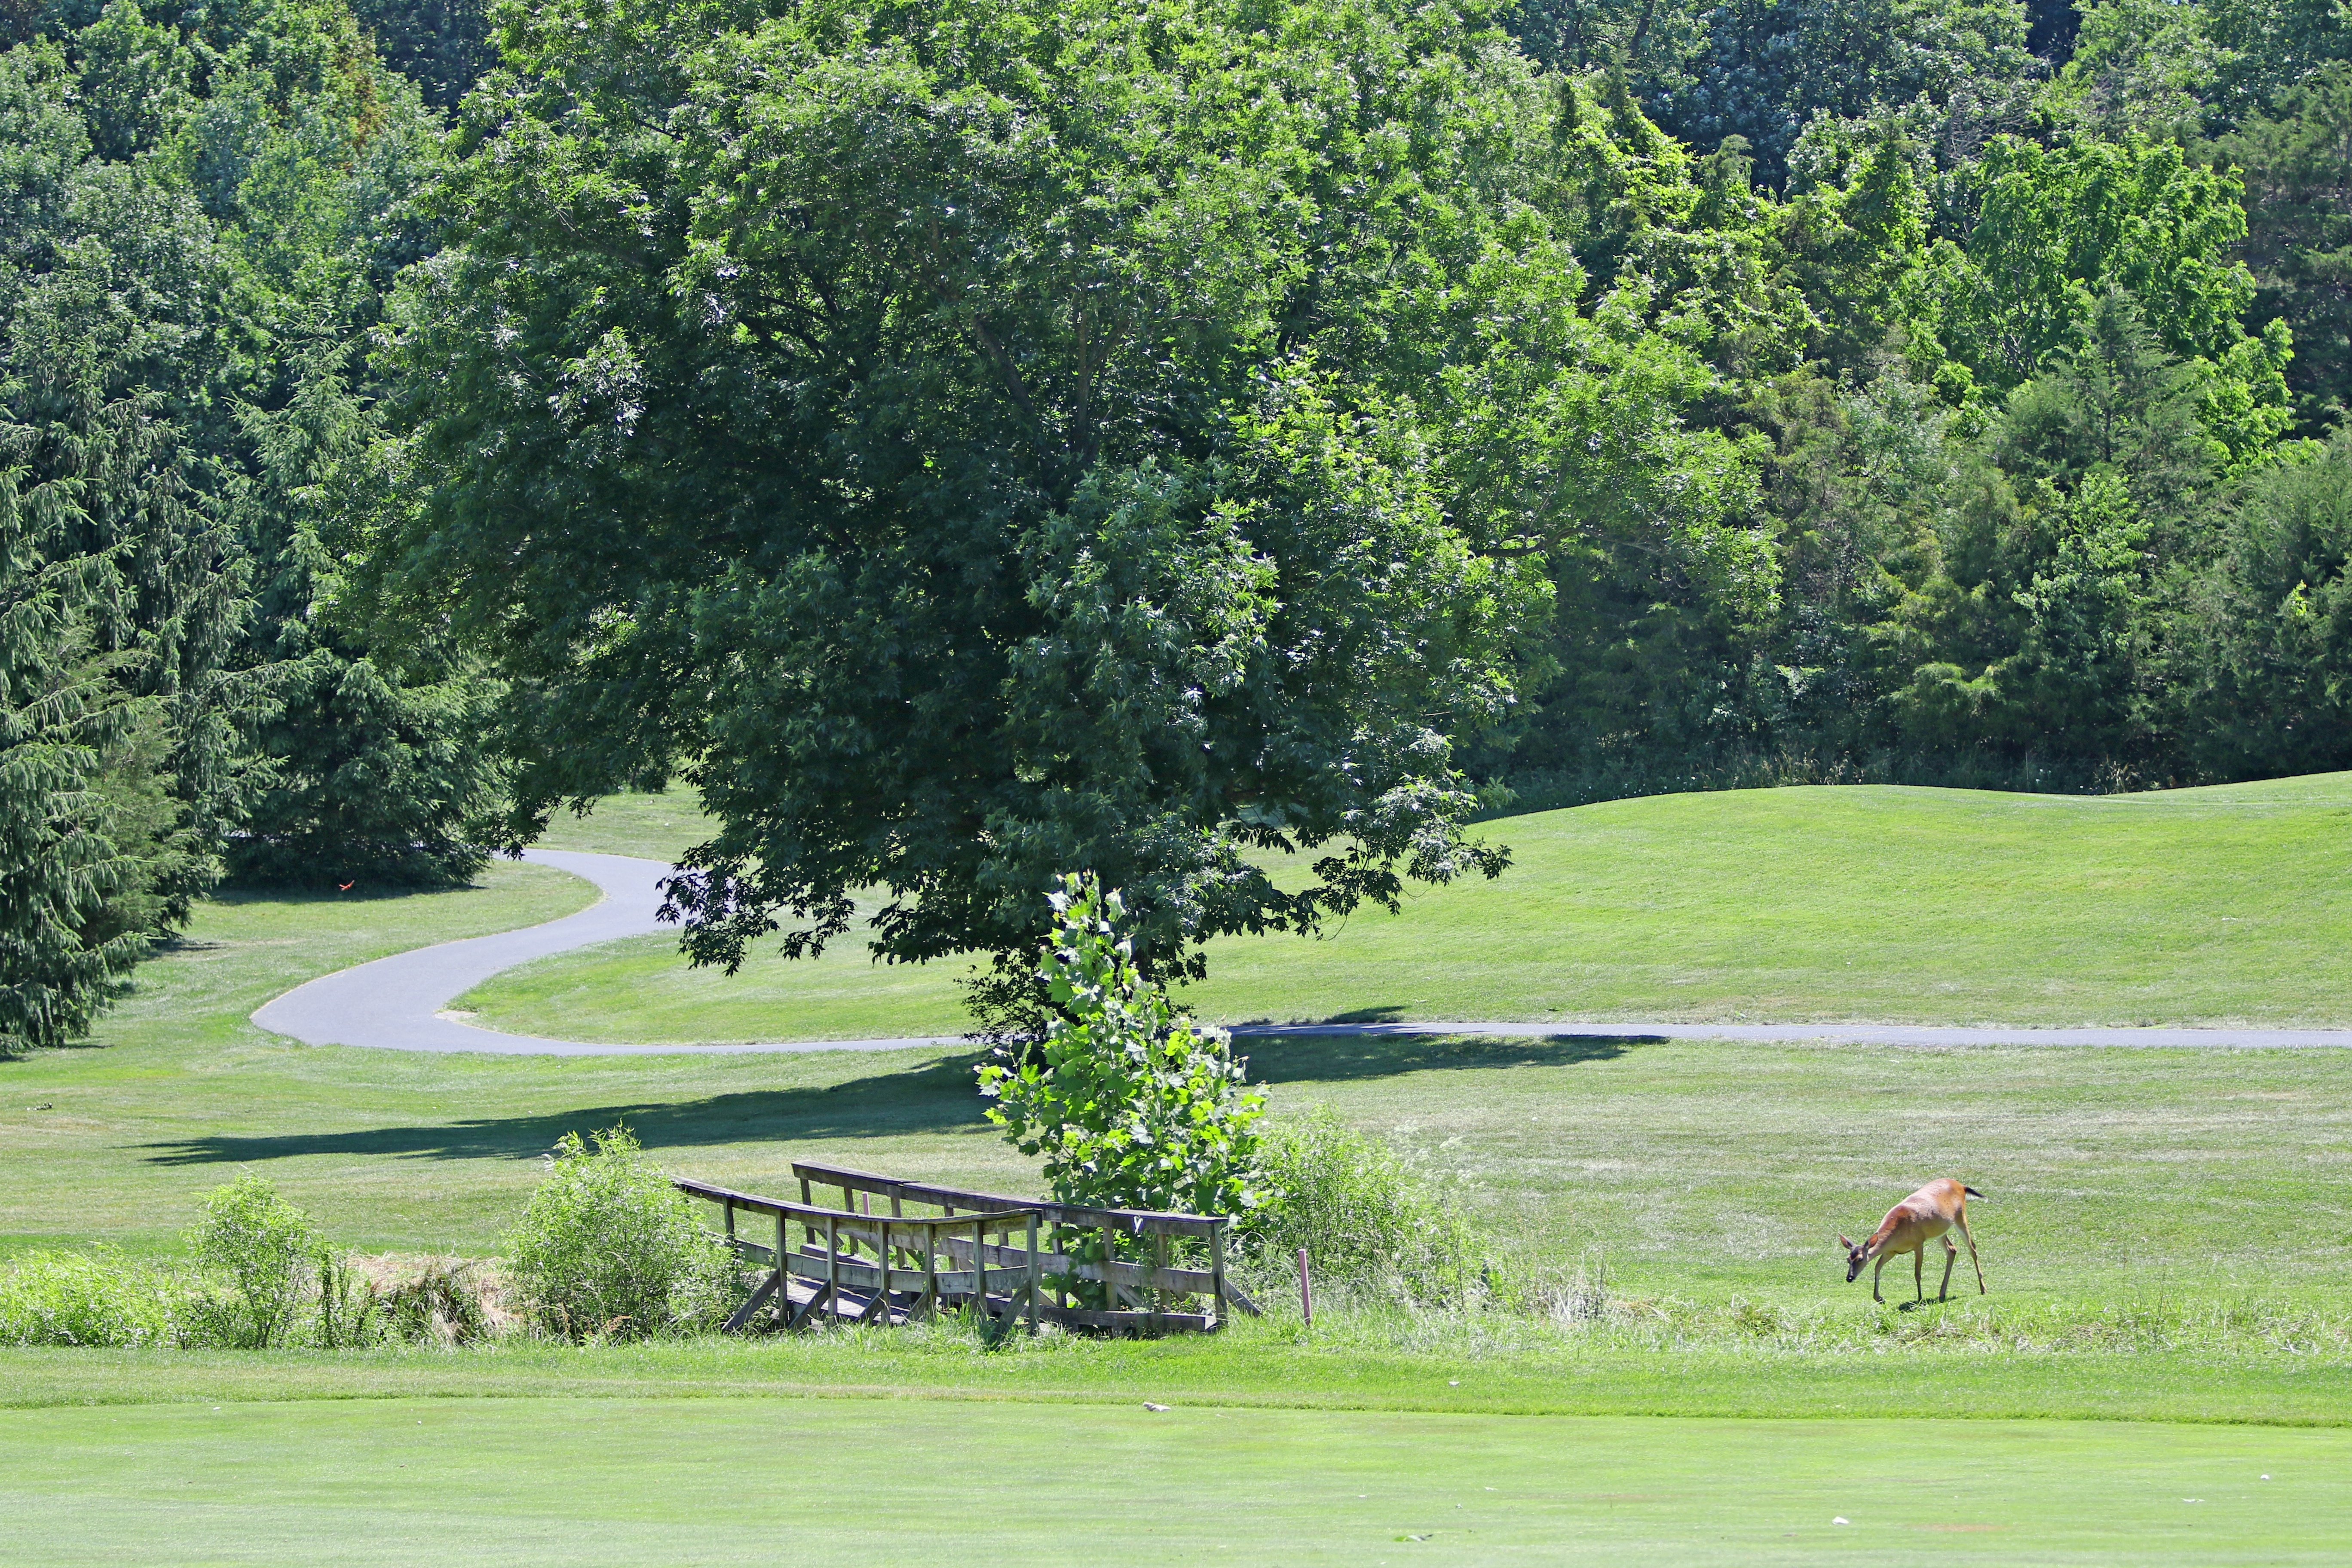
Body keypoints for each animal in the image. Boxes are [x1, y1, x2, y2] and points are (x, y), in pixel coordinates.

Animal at [1839, 1178, 1986, 1304]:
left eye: (1860, 1259)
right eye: (1848, 1259)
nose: (1849, 1278)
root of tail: (1961, 1186)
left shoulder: (1918, 1243)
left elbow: (1917, 1274)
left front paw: (1920, 1299)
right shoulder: (1891, 1251)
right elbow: (1877, 1267)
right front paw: (1880, 1298)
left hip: (1961, 1217)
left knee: (1973, 1248)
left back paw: (1983, 1289)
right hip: (1940, 1231)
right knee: (1952, 1250)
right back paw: (1942, 1294)